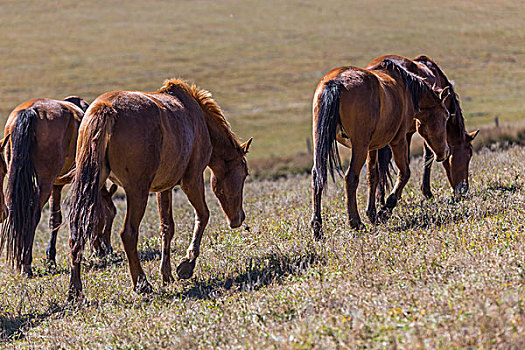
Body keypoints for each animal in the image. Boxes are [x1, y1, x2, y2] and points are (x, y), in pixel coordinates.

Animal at [0, 96, 117, 276]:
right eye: (111, 216)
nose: (107, 250)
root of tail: (30, 111)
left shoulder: (56, 185)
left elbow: (54, 219)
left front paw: (51, 258)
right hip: (45, 182)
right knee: (33, 215)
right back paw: (26, 264)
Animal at [67, 78, 252, 300]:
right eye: (244, 173)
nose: (239, 218)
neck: (199, 119)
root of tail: (106, 109)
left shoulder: (164, 188)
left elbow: (167, 227)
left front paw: (167, 274)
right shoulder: (192, 180)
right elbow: (203, 215)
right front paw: (187, 265)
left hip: (92, 186)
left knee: (77, 233)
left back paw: (75, 291)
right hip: (137, 191)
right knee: (128, 233)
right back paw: (142, 284)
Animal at [312, 60, 450, 239]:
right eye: (446, 115)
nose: (445, 153)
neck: (406, 89)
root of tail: (336, 82)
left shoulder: (373, 147)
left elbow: (373, 176)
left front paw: (372, 213)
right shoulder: (398, 140)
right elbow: (404, 173)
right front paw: (385, 211)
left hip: (323, 141)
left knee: (318, 176)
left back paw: (317, 228)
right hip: (360, 146)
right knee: (351, 177)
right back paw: (355, 223)